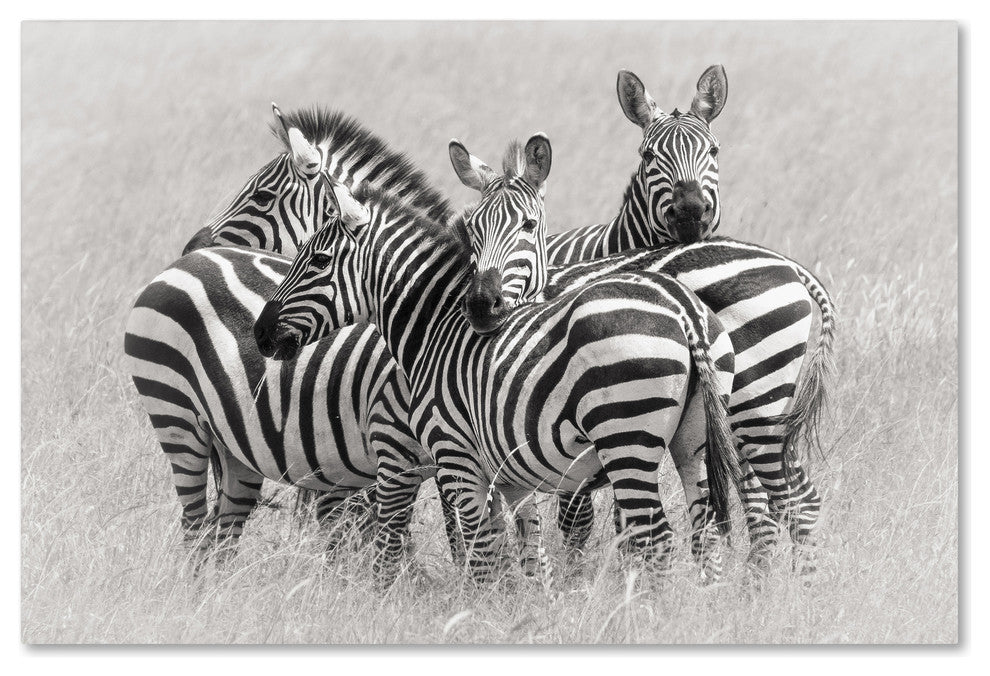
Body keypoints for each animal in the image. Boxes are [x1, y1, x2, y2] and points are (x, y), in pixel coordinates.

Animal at [253, 175, 744, 583]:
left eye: (317, 260)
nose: (259, 333)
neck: (435, 329)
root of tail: (682, 307)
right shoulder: (509, 473)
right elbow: (527, 551)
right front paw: (529, 611)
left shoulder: (456, 457)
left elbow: (482, 553)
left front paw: (479, 612)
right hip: (693, 442)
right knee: (704, 533)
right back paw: (703, 606)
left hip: (625, 438)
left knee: (656, 538)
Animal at [447, 78, 836, 564]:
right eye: (470, 232)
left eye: (528, 226)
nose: (483, 305)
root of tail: (790, 266)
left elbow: (565, 517)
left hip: (754, 405)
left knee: (786, 499)